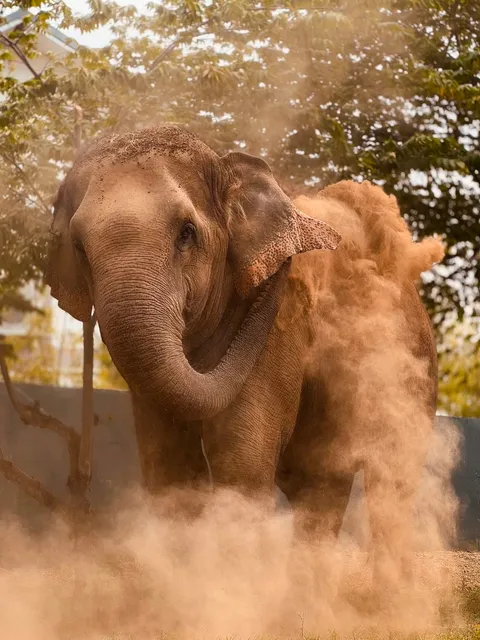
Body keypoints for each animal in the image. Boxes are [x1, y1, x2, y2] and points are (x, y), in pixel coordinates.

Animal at [46, 125, 443, 581]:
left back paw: (385, 593)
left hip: (413, 368)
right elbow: (168, 466)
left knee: (391, 477)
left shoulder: (280, 328)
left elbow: (240, 461)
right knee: (321, 484)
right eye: (79, 246)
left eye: (186, 232)